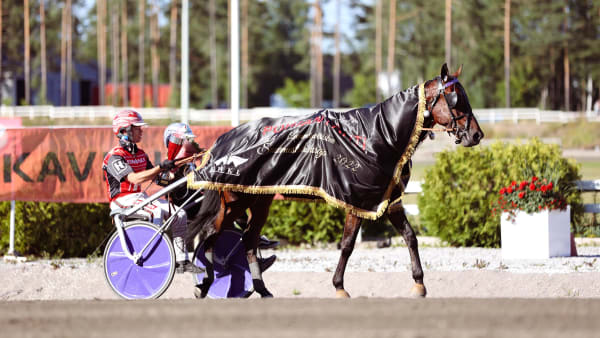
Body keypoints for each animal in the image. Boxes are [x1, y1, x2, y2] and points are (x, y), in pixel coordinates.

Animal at [190, 64, 486, 298]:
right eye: (456, 99)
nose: (476, 135)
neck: (380, 135)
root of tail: (225, 139)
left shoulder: (389, 200)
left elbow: (410, 237)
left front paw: (419, 284)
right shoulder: (357, 201)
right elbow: (347, 245)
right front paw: (339, 286)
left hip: (259, 200)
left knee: (248, 241)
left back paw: (261, 289)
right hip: (235, 201)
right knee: (210, 234)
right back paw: (206, 281)